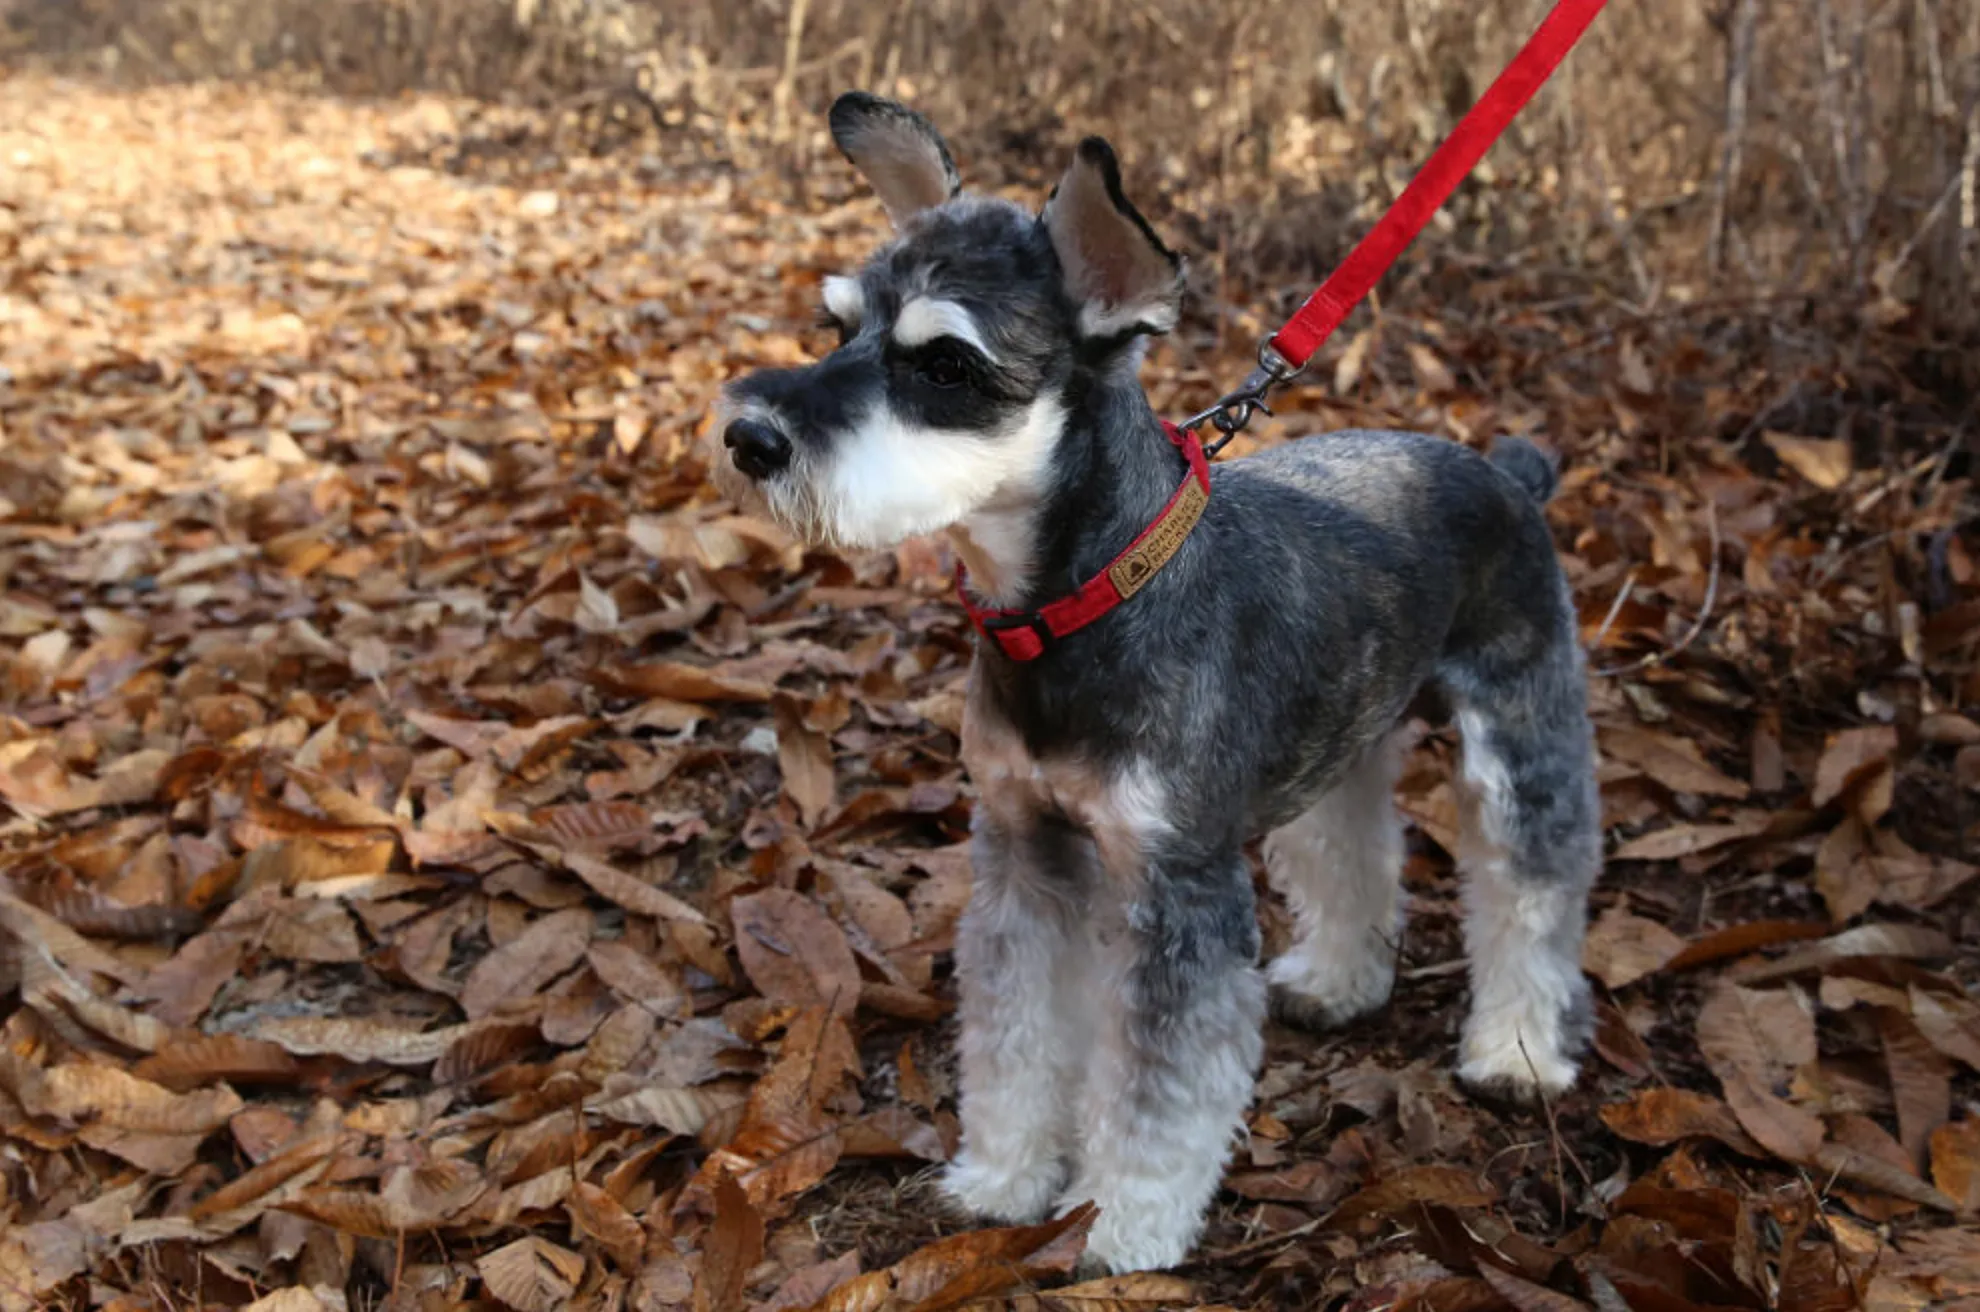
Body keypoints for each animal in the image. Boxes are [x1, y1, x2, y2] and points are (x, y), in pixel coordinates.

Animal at [704, 90, 1599, 1274]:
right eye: (832, 326)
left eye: (945, 366)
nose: (749, 436)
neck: (1079, 602)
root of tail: (1507, 475)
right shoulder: (1026, 851)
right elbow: (1018, 1031)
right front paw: (1003, 1178)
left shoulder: (1178, 890)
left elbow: (1159, 1091)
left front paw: (1122, 1227)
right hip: (1344, 735)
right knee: (1351, 845)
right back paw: (1340, 979)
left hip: (1521, 736)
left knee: (1532, 892)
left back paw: (1516, 1049)